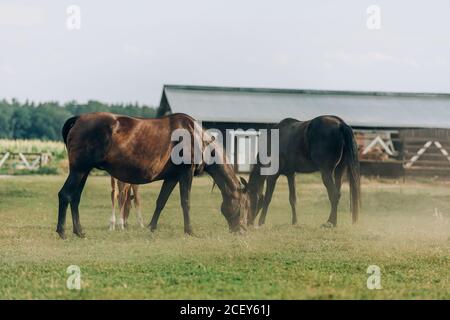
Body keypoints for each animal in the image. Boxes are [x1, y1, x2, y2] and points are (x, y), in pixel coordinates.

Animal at [56, 111, 250, 239]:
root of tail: (79, 119)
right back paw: (62, 231)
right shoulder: (185, 174)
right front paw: (189, 230)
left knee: (75, 198)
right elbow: (185, 202)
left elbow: (161, 201)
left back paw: (79, 231)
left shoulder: (172, 177)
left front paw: (151, 227)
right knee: (65, 195)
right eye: (244, 205)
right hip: (79, 170)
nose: (242, 230)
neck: (196, 138)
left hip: (83, 172)